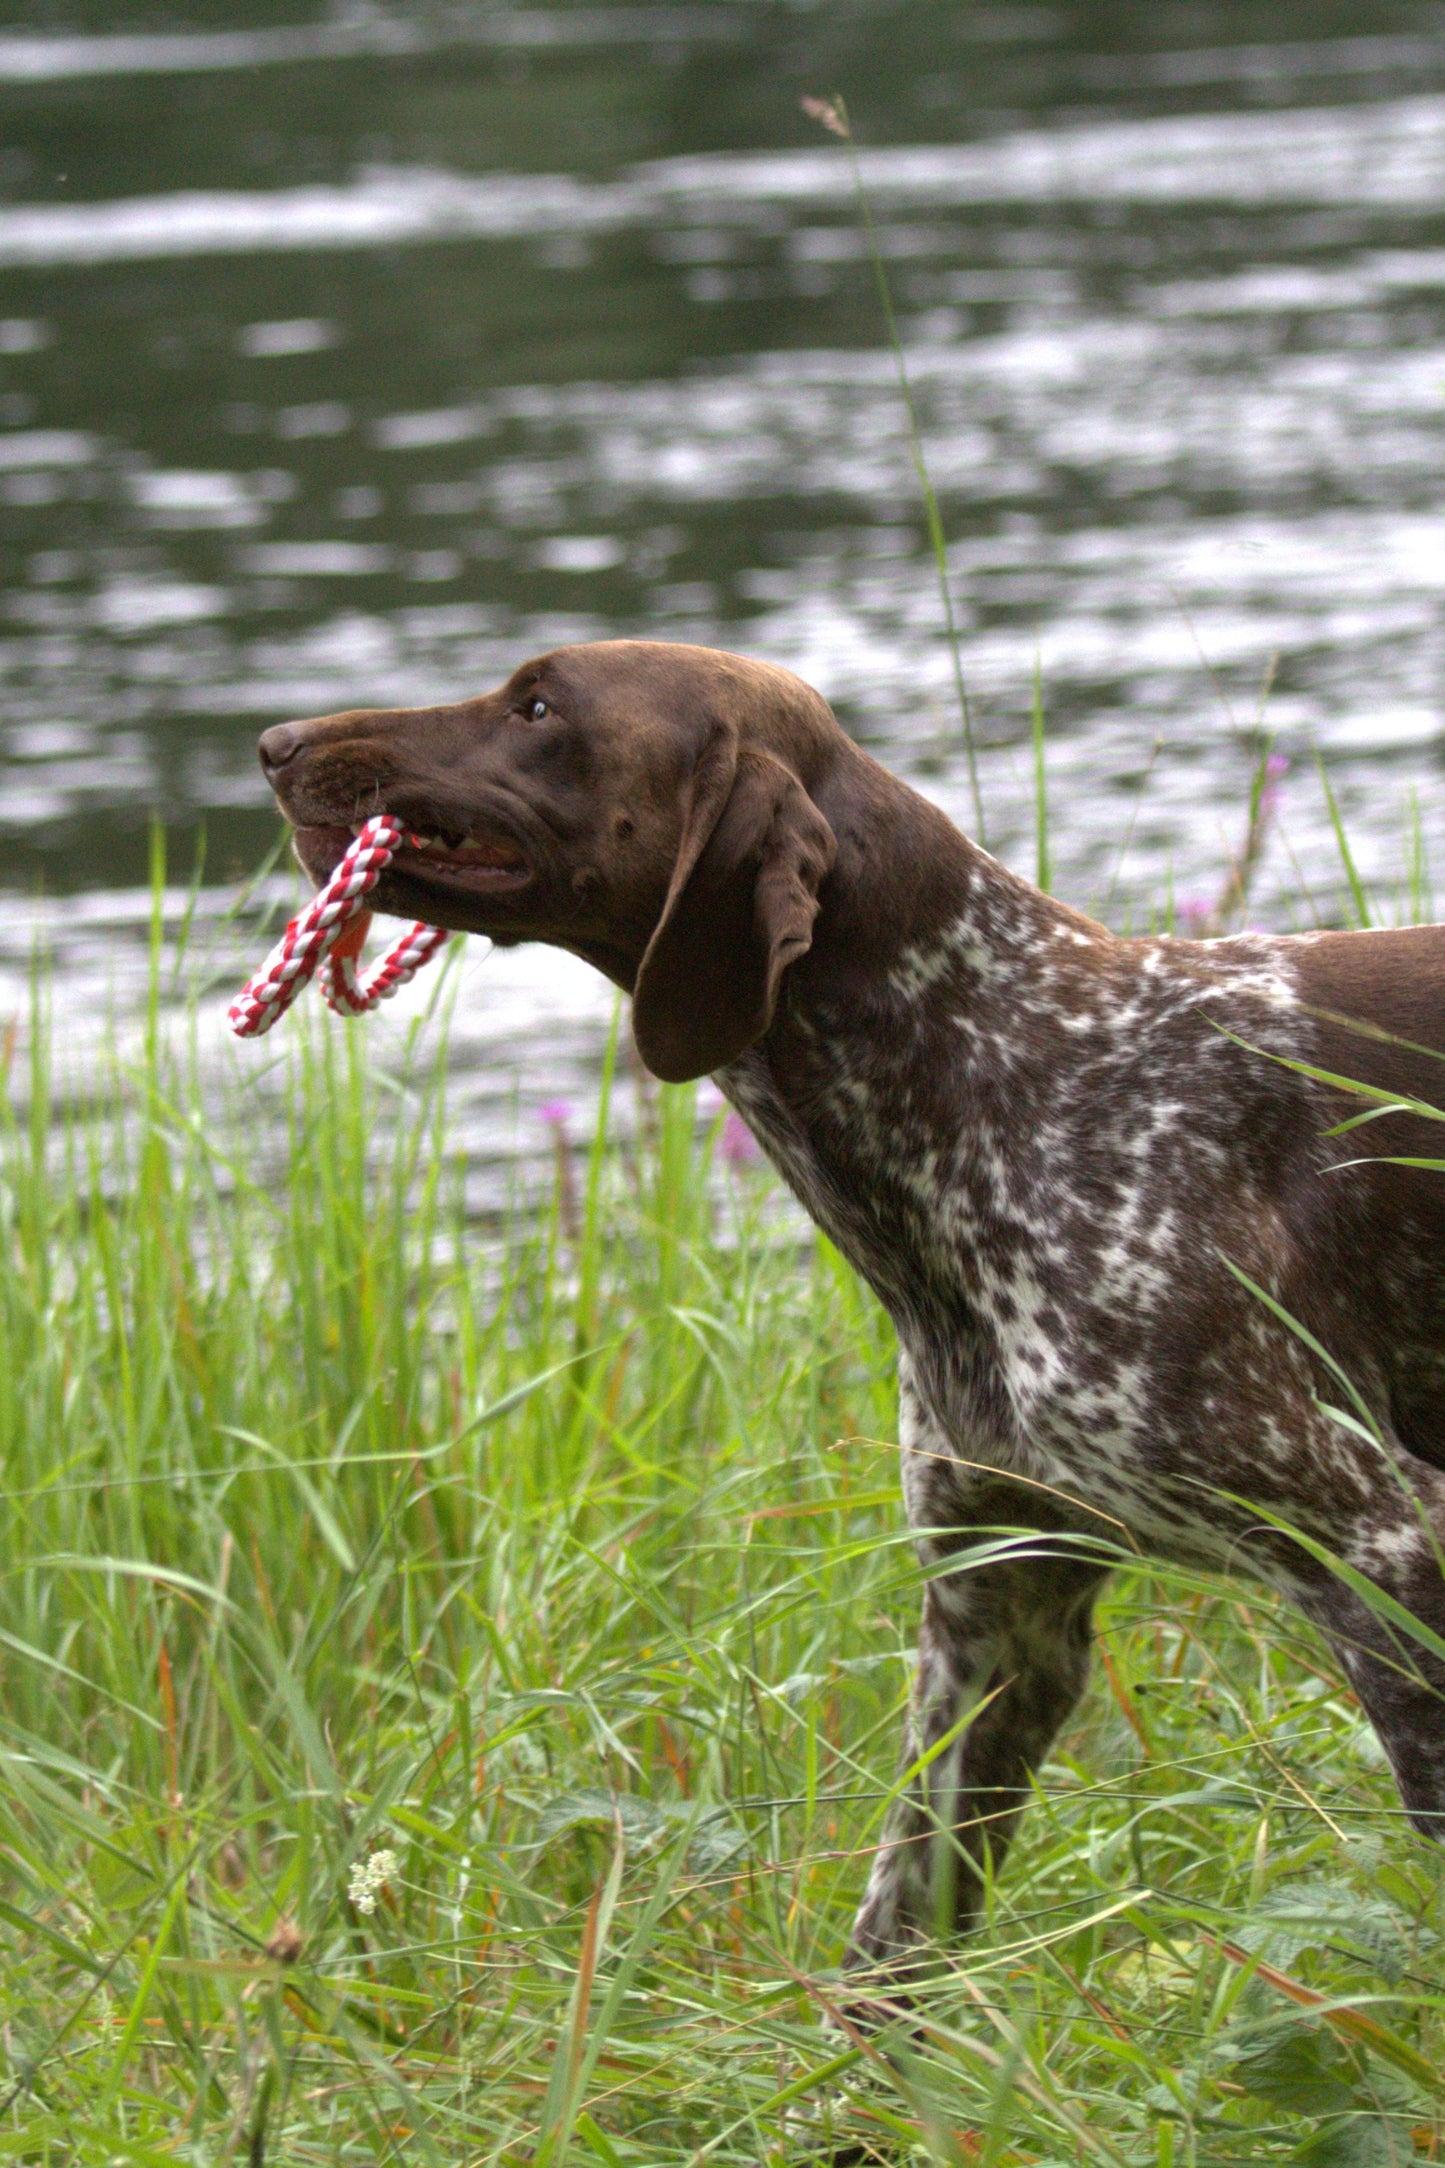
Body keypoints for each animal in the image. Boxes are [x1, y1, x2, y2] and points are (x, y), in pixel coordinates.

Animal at [256, 633, 1445, 1977]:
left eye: (540, 704)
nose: (276, 743)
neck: (991, 1069)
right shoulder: (997, 1618)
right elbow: (889, 1942)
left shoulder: (1385, 1546)